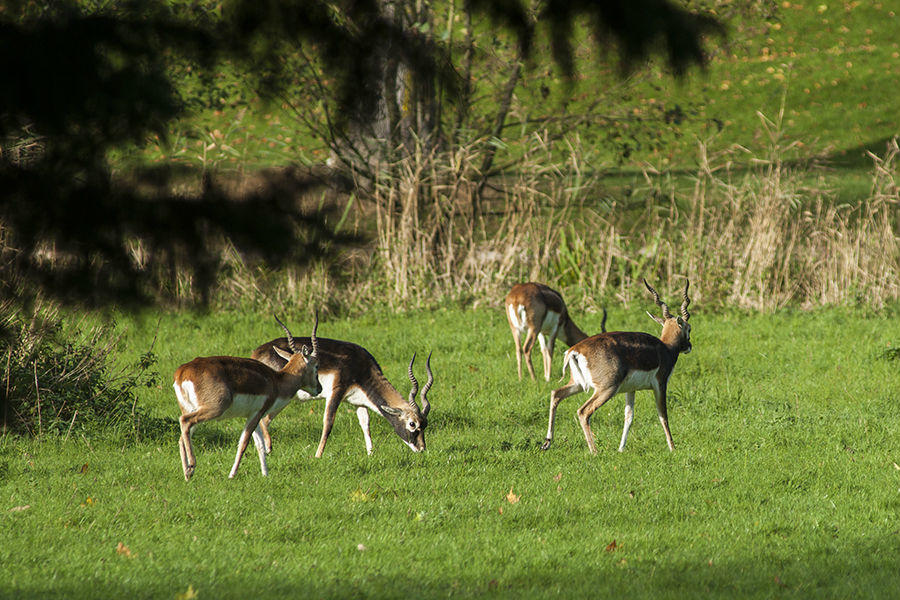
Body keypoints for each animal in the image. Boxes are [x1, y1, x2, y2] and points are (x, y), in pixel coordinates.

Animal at [171, 312, 322, 480]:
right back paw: (191, 466)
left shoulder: (251, 415)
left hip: (190, 409)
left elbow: (260, 445)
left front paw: (265, 475)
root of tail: (183, 372)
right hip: (214, 409)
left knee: (182, 436)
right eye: (316, 366)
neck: (276, 380)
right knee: (184, 421)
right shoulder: (258, 413)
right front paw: (232, 475)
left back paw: (187, 474)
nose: (319, 388)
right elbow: (243, 444)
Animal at [251, 330, 434, 458]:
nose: (422, 449)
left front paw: (371, 453)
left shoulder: (358, 402)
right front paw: (318, 456)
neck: (361, 367)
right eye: (412, 424)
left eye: (425, 424)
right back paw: (267, 449)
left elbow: (365, 423)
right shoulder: (336, 392)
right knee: (263, 419)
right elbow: (328, 423)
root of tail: (257, 353)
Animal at [536, 282, 692, 454]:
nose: (689, 346)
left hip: (577, 384)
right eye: (689, 328)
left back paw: (547, 442)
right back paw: (594, 451)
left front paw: (621, 449)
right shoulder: (660, 384)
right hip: (607, 389)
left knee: (556, 393)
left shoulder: (631, 389)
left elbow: (629, 417)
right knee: (583, 411)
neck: (666, 348)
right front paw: (673, 448)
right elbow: (663, 415)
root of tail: (575, 351)